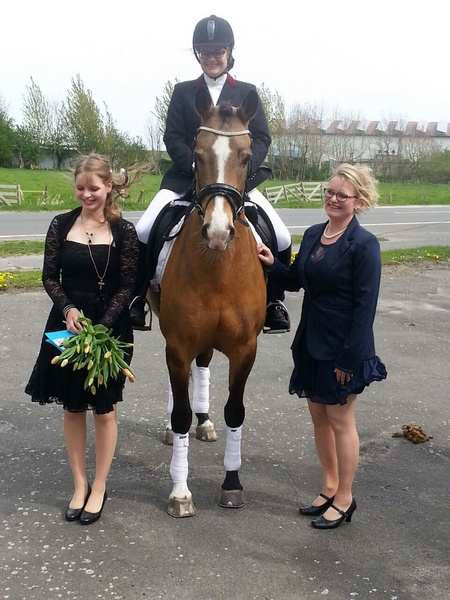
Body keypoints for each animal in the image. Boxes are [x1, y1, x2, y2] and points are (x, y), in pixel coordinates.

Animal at [148, 86, 267, 517]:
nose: (217, 232)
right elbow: (180, 411)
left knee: (201, 369)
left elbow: (236, 411)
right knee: (180, 386)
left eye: (246, 157)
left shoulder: (245, 349)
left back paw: (205, 421)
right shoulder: (178, 343)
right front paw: (180, 492)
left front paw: (232, 483)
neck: (217, 266)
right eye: (196, 155)